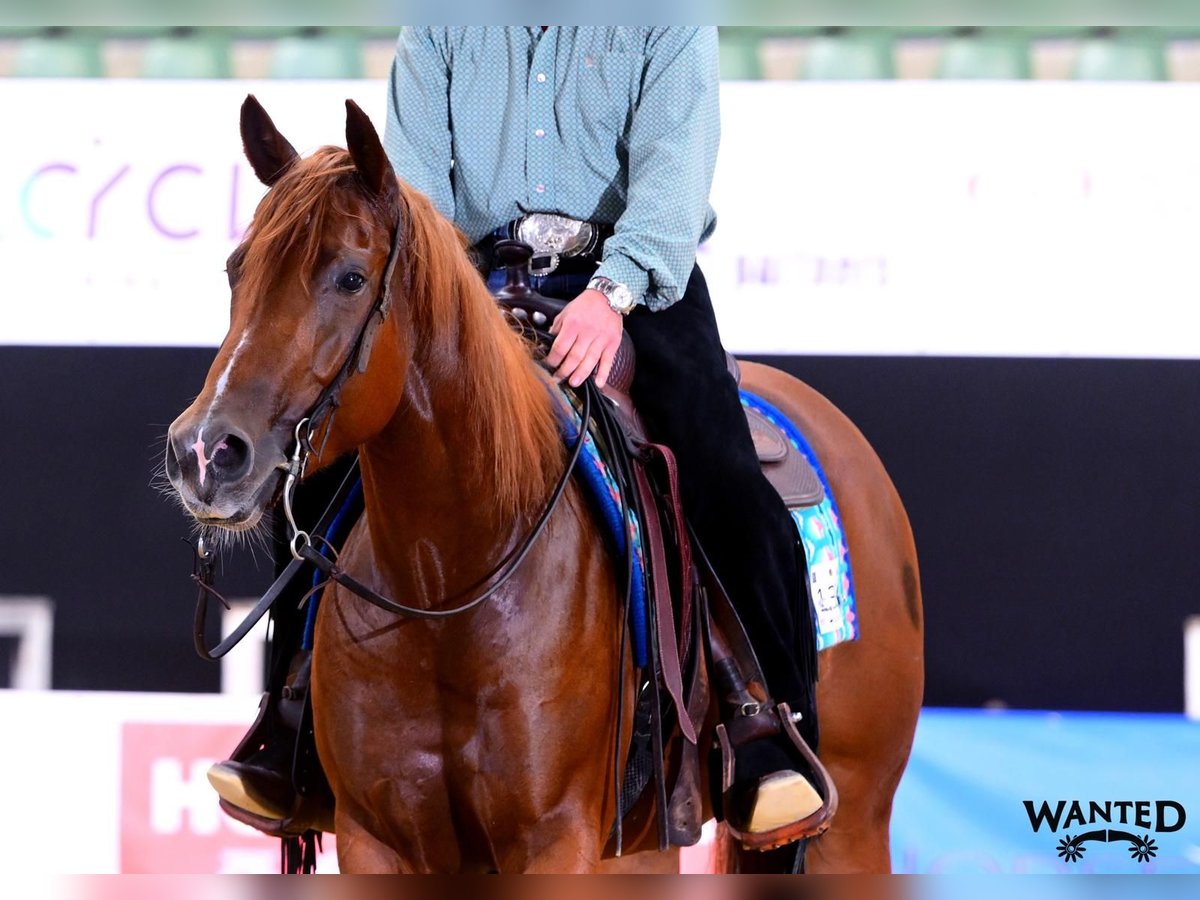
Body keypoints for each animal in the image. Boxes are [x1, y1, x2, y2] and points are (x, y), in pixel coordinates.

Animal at [165, 95, 924, 874]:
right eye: (237, 269)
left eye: (350, 277)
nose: (206, 453)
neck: (450, 583)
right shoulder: (374, 838)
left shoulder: (558, 840)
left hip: (852, 822)